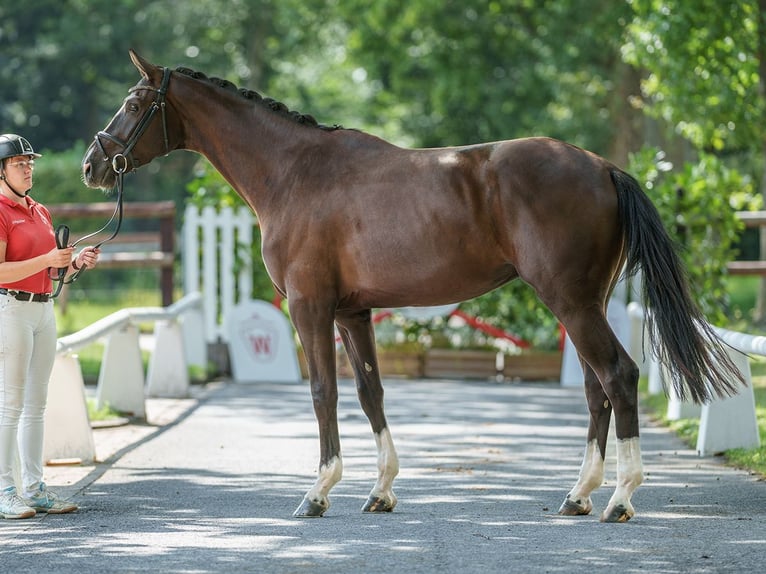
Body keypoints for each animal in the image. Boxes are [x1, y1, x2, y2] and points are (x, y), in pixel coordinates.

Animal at [81, 51, 748, 524]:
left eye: (135, 101)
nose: (91, 165)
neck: (294, 172)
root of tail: (604, 167)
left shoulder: (310, 308)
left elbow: (323, 392)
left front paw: (317, 492)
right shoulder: (352, 313)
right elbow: (370, 393)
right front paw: (379, 492)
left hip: (571, 303)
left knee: (618, 376)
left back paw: (620, 500)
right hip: (584, 304)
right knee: (596, 389)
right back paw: (579, 494)